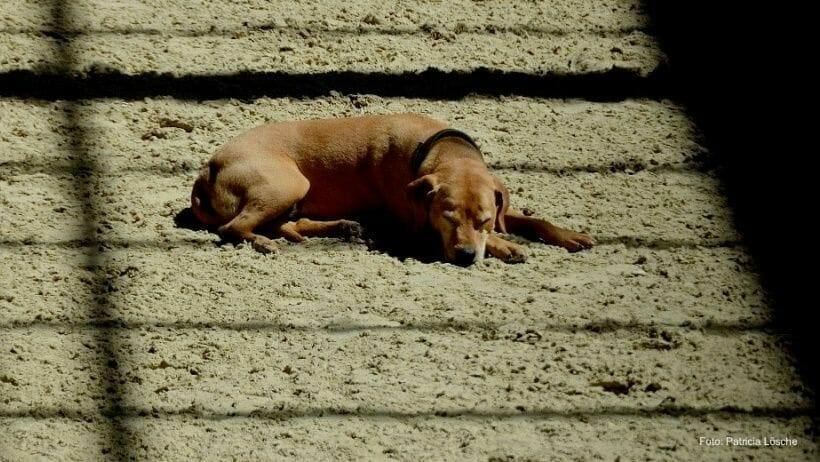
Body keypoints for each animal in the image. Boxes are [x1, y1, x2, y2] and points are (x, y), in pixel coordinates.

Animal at [189, 113, 592, 266]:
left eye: (486, 219)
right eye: (446, 217)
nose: (464, 256)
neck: (437, 147)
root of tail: (208, 167)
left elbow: (531, 219)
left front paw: (568, 235)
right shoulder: (419, 224)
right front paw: (505, 246)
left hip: (291, 193)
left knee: (287, 224)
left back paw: (342, 227)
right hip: (288, 182)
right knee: (235, 227)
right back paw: (262, 242)